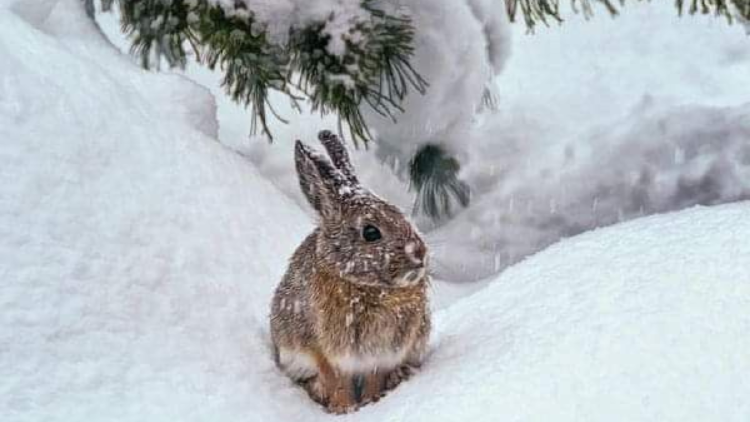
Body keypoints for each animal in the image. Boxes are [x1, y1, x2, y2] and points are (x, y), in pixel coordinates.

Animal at [270, 130, 431, 414]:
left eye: (399, 213)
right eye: (371, 232)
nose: (419, 253)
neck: (369, 287)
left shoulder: (383, 355)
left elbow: (373, 379)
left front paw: (371, 401)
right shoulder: (325, 350)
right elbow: (337, 380)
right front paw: (343, 409)